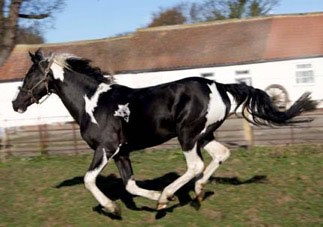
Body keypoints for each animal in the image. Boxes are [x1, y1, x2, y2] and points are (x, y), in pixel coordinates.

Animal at [12, 48, 316, 215]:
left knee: (195, 165)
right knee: (221, 155)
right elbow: (130, 185)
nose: (16, 104)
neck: (94, 103)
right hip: (204, 135)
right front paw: (154, 198)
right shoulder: (122, 153)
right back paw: (196, 193)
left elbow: (89, 180)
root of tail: (221, 87)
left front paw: (114, 208)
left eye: (29, 76)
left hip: (188, 135)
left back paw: (169, 197)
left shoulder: (106, 148)